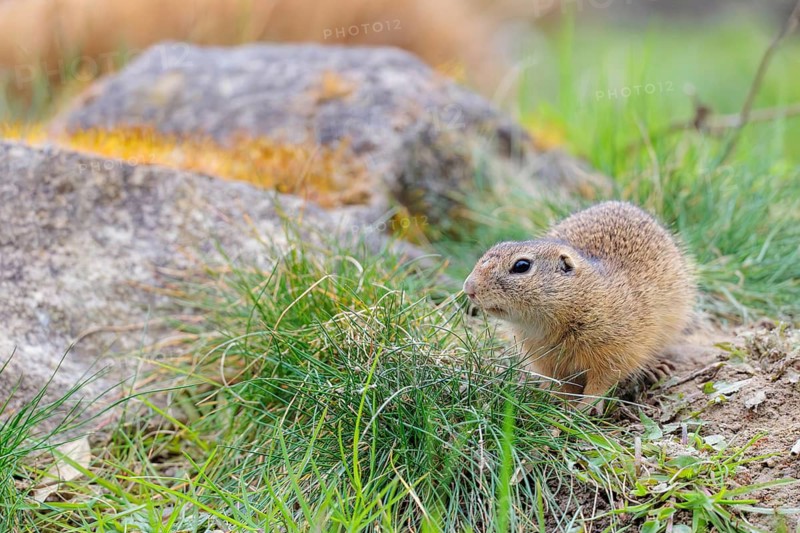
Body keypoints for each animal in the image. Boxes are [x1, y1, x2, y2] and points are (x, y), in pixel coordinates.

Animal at [463, 201, 696, 411]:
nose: (468, 287)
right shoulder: (546, 360)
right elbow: (563, 387)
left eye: (522, 266)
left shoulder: (617, 350)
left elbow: (602, 381)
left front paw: (586, 408)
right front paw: (565, 409)